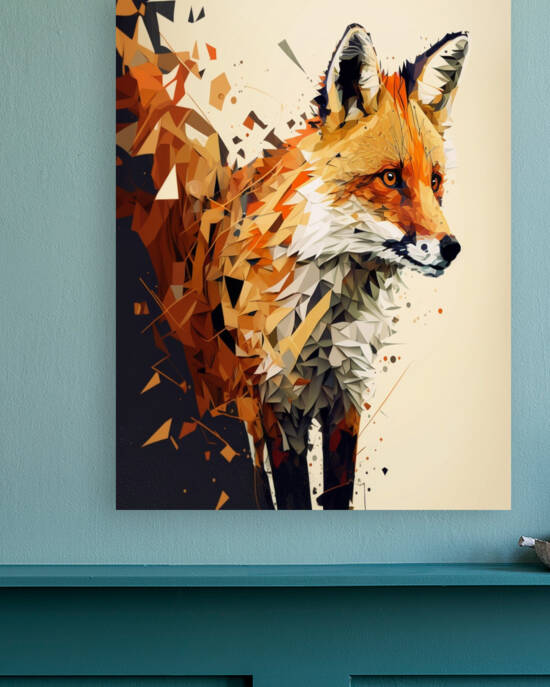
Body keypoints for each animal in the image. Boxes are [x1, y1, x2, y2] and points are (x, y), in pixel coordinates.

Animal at [116, 18, 468, 510]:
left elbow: (335, 494)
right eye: (390, 178)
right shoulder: (276, 406)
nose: (451, 247)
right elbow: (293, 496)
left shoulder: (346, 399)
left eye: (434, 182)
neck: (327, 315)